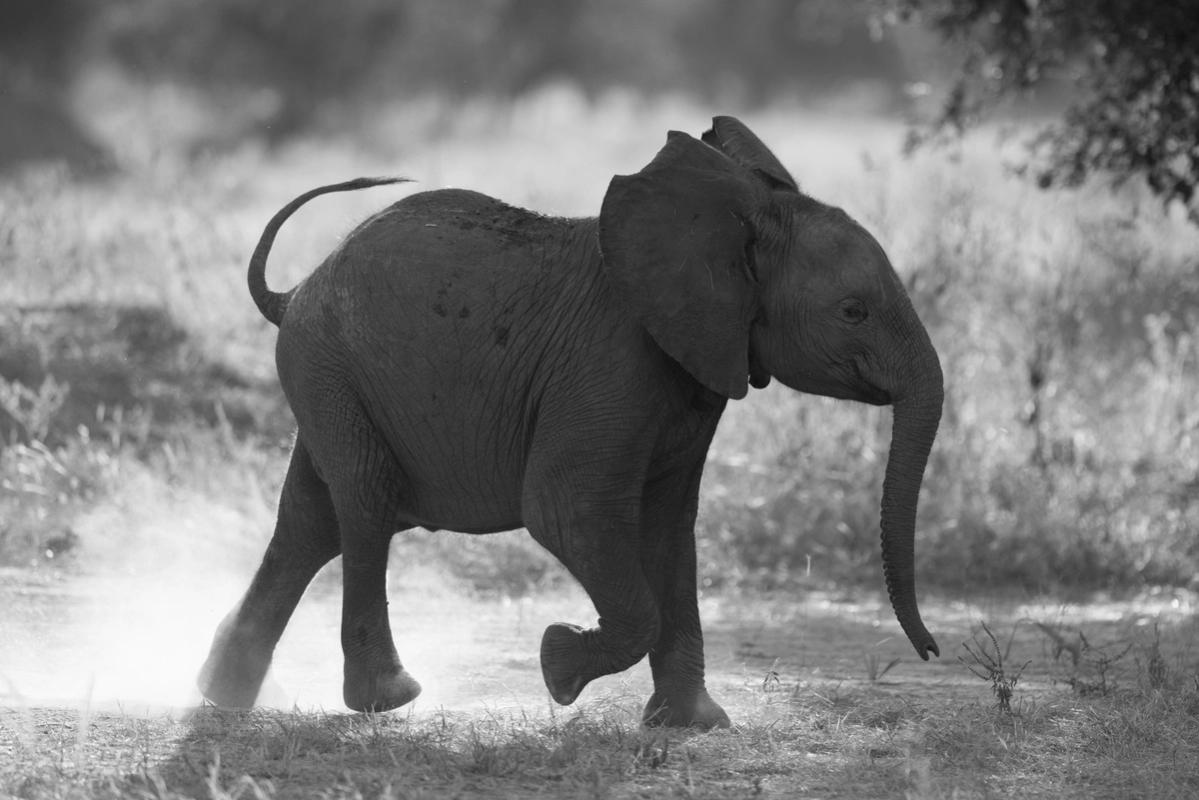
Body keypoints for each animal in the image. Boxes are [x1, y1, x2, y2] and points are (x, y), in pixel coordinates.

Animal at [199, 115, 944, 729]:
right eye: (853, 312)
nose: (932, 652)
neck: (727, 220)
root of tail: (296, 288)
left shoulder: (695, 370)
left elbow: (668, 526)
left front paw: (692, 725)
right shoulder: (612, 361)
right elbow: (566, 509)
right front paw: (558, 668)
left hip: (329, 378)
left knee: (311, 520)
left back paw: (221, 694)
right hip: (329, 367)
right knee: (365, 502)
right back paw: (389, 698)